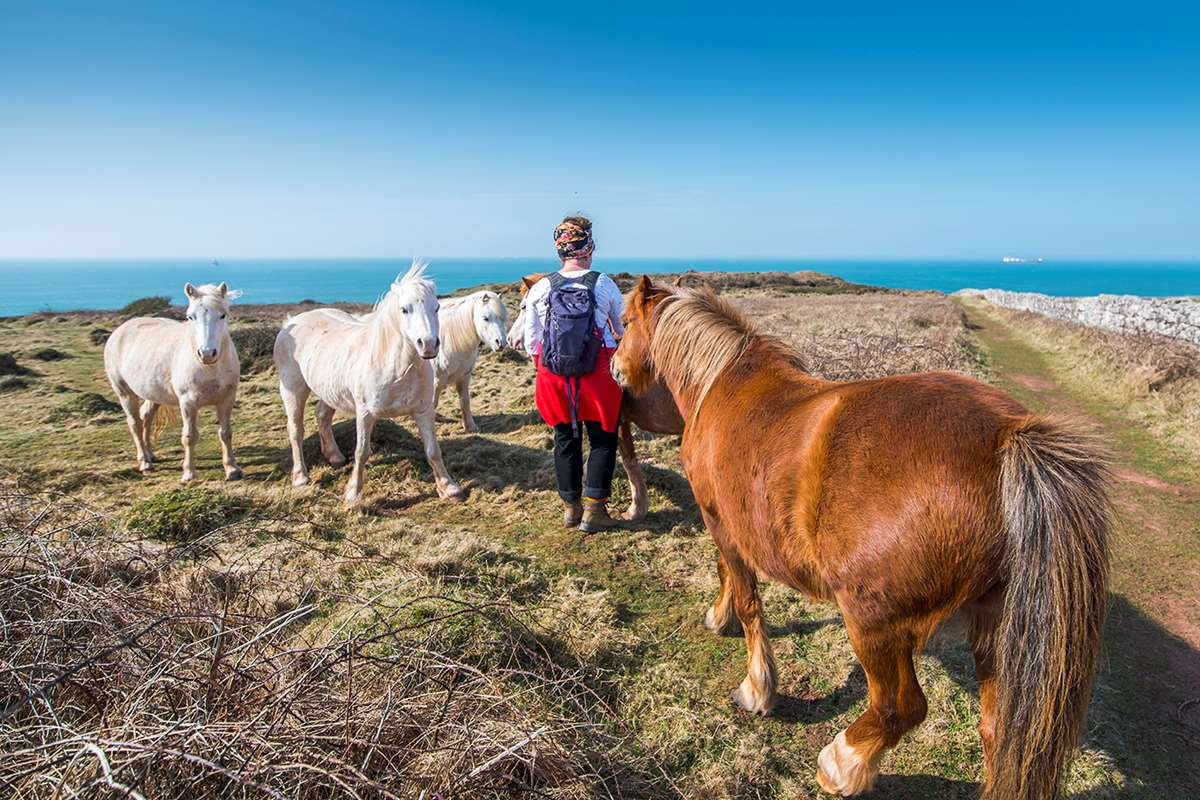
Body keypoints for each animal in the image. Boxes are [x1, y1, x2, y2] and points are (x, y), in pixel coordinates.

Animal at [103, 282, 243, 482]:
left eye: (222, 315)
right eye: (190, 316)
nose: (207, 353)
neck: (210, 368)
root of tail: (120, 330)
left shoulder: (226, 399)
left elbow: (225, 433)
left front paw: (232, 469)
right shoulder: (188, 403)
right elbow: (190, 436)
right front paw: (189, 473)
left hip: (153, 394)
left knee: (146, 417)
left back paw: (150, 455)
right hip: (125, 393)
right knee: (135, 423)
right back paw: (144, 462)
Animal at [273, 260, 464, 505]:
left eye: (436, 308)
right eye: (404, 309)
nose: (429, 344)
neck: (395, 367)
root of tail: (292, 322)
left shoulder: (423, 411)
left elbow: (433, 450)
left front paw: (449, 488)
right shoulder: (365, 413)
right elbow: (361, 451)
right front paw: (353, 493)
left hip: (330, 389)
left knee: (322, 415)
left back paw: (334, 456)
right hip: (293, 389)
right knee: (296, 429)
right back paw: (300, 477)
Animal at [434, 290, 508, 432]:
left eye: (502, 318)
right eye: (485, 318)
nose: (501, 343)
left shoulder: (463, 377)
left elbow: (465, 401)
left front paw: (470, 427)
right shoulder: (435, 382)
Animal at [611, 276, 1110, 800]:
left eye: (624, 322)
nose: (614, 368)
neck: (722, 381)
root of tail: (1009, 436)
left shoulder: (721, 522)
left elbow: (746, 598)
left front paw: (755, 686)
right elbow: (730, 578)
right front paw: (719, 618)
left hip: (873, 622)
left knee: (900, 707)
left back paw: (841, 762)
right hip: (992, 622)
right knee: (997, 730)